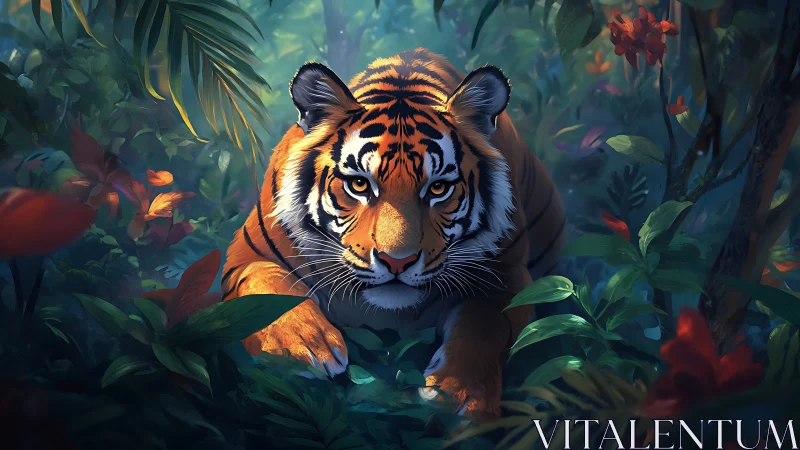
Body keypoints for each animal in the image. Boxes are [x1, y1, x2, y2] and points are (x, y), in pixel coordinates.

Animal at [221, 48, 566, 417]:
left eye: (438, 188)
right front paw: (302, 347)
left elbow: (485, 327)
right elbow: (263, 283)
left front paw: (460, 394)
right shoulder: (245, 255)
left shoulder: (509, 276)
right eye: (359, 184)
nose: (397, 261)